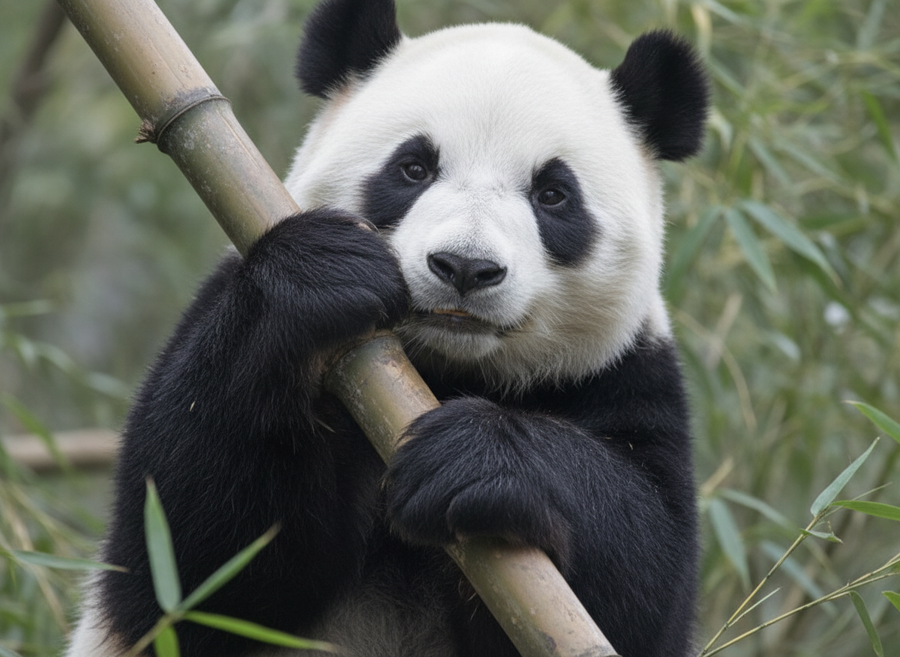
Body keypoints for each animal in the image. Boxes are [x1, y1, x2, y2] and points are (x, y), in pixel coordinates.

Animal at [67, 0, 708, 655]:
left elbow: (642, 579)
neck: (442, 368)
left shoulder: (625, 373)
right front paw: (321, 274)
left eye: (553, 194)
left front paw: (471, 460)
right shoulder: (222, 314)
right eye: (413, 167)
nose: (464, 267)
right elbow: (186, 563)